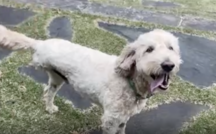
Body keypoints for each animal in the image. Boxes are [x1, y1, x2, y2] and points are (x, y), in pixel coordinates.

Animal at [0, 25, 182, 134]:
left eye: (171, 48)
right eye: (149, 50)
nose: (168, 65)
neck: (130, 82)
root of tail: (41, 44)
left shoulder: (123, 117)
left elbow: (122, 129)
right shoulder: (111, 119)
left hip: (57, 78)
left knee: (48, 91)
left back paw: (50, 107)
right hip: (43, 63)